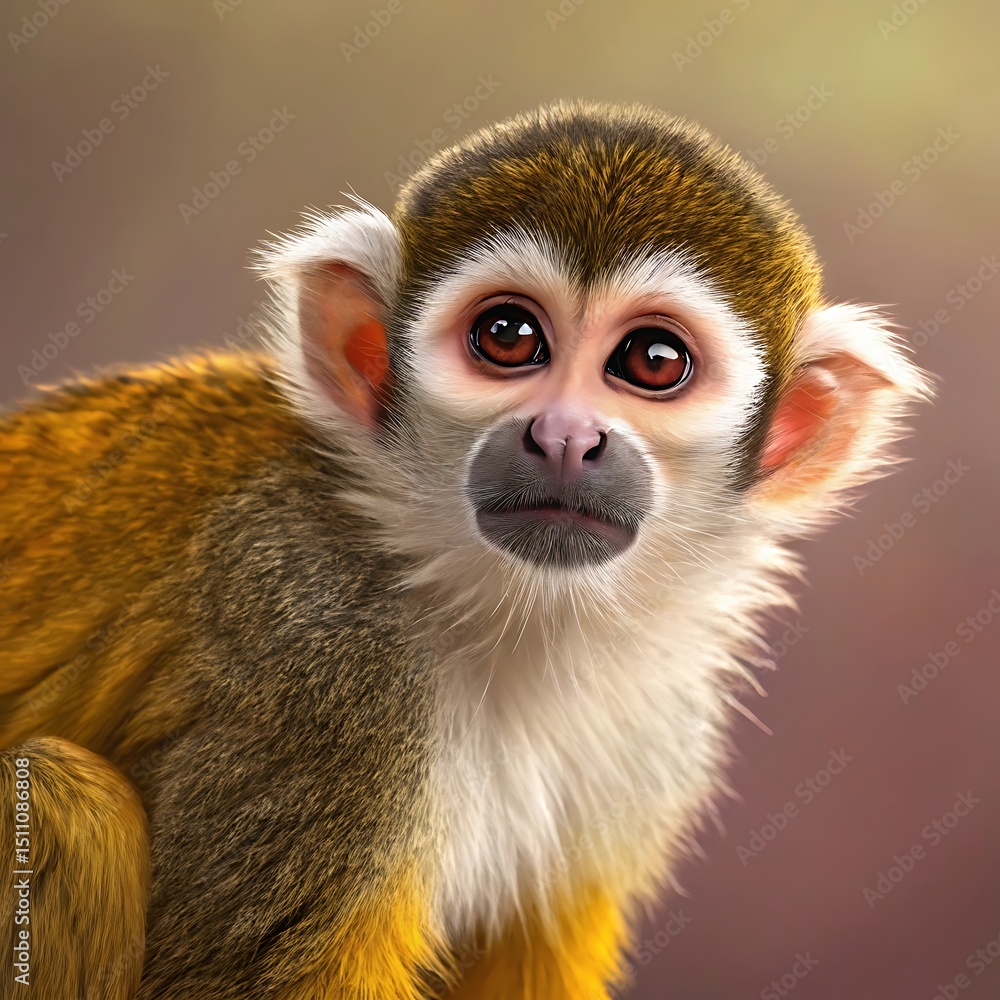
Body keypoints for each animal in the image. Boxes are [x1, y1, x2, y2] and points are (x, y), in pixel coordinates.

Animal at [0, 100, 931, 999]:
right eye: (509, 337)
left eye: (653, 360)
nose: (564, 436)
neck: (504, 612)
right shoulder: (321, 664)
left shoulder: (661, 720)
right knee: (61, 801)